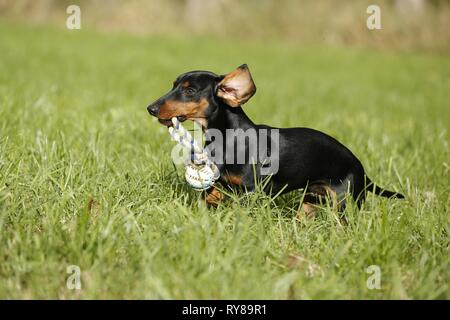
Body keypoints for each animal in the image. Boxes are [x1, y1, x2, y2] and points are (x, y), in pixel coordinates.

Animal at [149, 63, 404, 211]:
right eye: (173, 85)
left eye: (190, 90)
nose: (151, 108)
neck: (229, 138)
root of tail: (360, 168)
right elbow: (211, 193)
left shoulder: (250, 191)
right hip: (311, 201)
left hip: (344, 203)